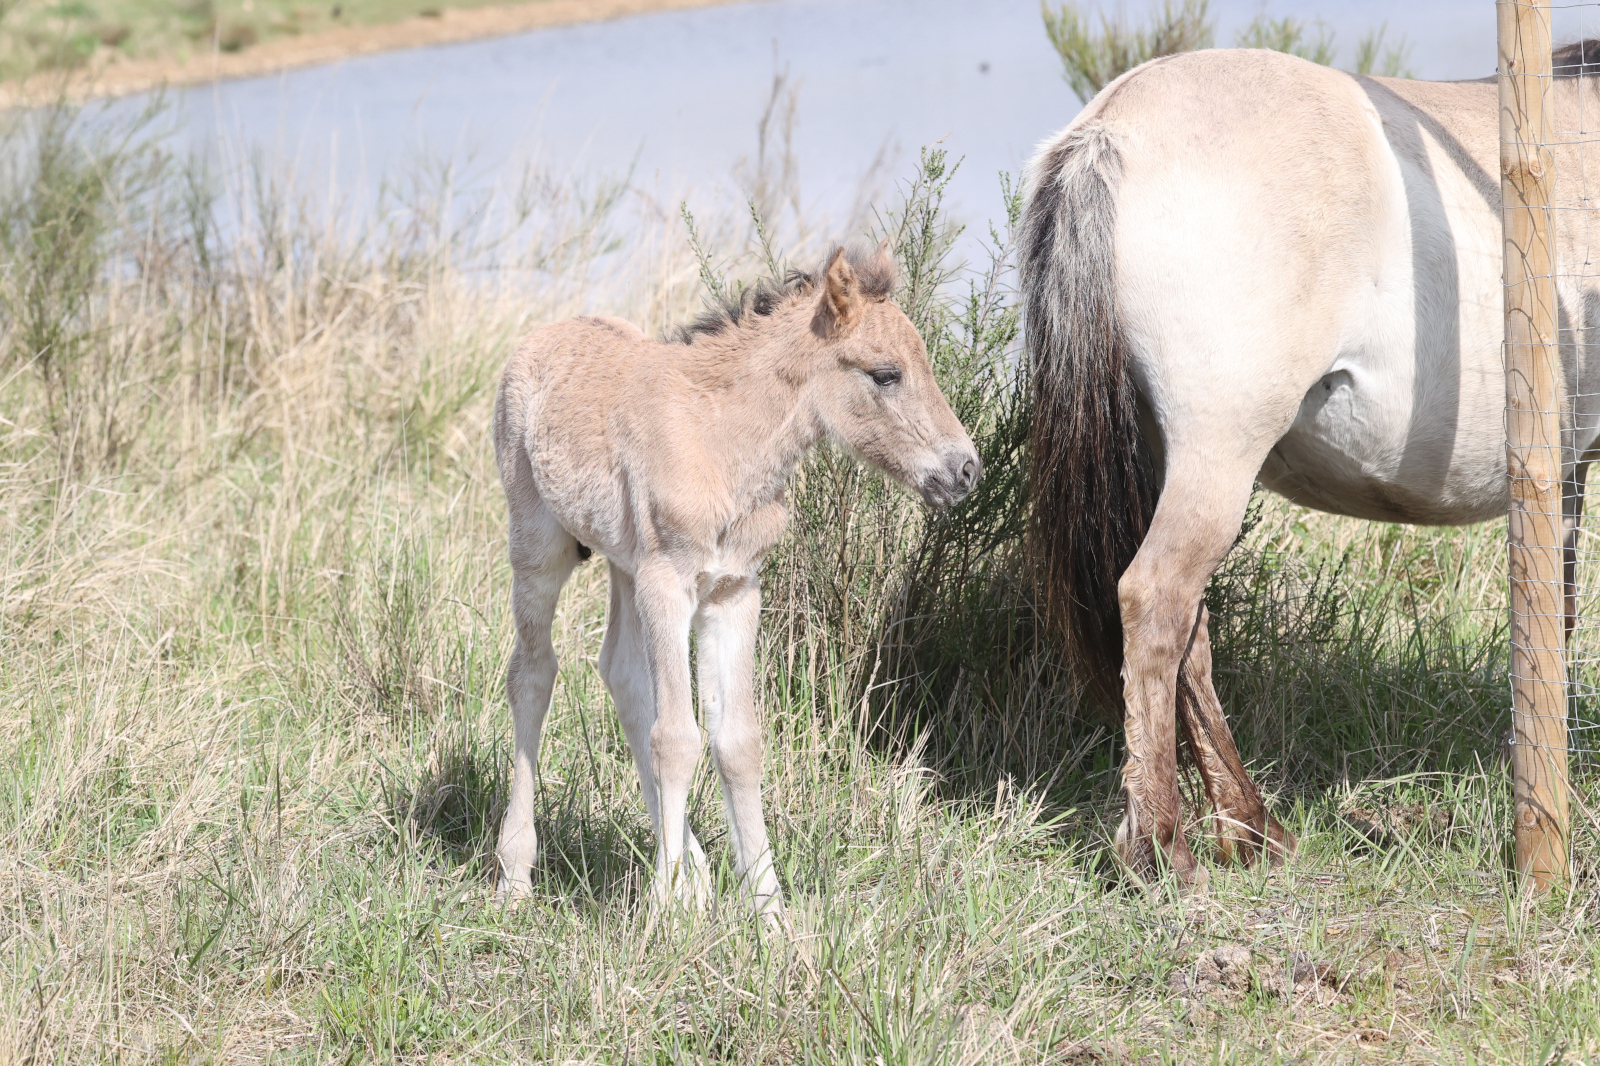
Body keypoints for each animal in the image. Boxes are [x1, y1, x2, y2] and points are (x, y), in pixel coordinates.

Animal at [492, 242, 981, 915]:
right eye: (886, 374)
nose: (966, 471)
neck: (721, 443)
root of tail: (541, 337)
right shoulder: (669, 583)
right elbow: (677, 739)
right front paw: (664, 913)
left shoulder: (734, 592)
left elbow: (738, 744)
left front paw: (768, 910)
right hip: (539, 546)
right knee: (534, 674)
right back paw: (516, 873)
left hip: (624, 566)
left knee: (621, 674)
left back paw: (694, 877)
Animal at [1021, 43, 1600, 886]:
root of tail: (1111, 127)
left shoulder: (1565, 470)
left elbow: (1554, 612)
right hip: (1217, 452)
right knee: (1156, 602)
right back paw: (1163, 845)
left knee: (1190, 631)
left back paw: (1251, 828)